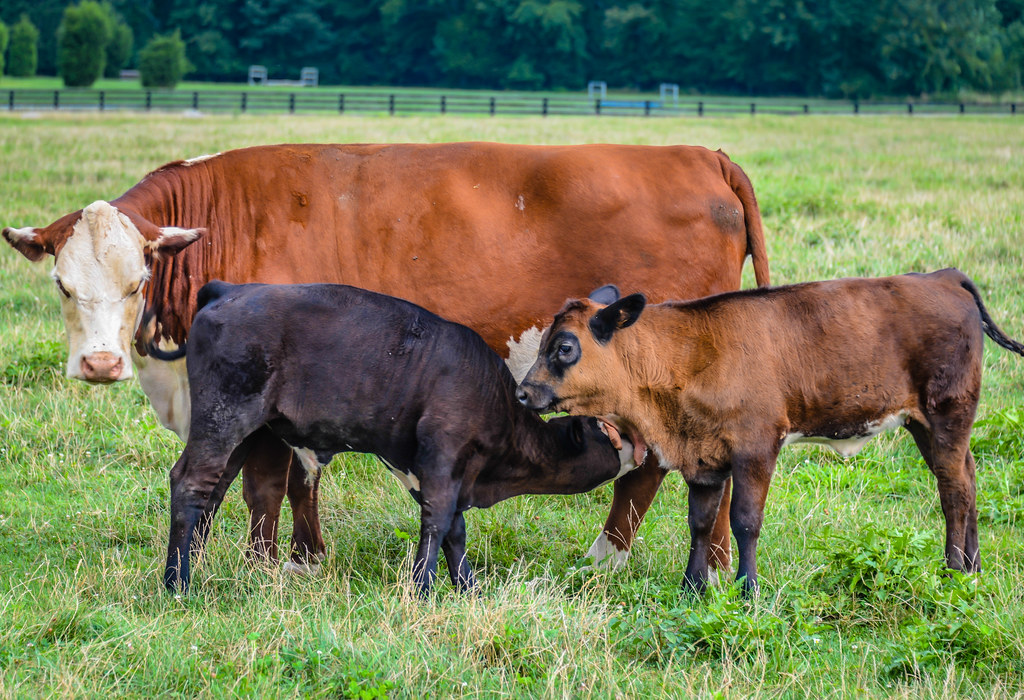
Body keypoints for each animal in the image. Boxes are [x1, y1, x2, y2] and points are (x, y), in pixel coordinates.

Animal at [163, 280, 638, 595]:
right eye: (607, 432)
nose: (641, 444)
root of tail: (229, 288)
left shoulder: (427, 469)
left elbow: (454, 531)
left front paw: (468, 591)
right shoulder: (442, 456)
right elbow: (438, 524)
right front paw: (422, 592)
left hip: (245, 431)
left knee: (213, 491)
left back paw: (195, 568)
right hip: (223, 416)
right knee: (189, 482)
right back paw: (177, 583)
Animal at [516, 270, 1024, 595]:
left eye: (564, 347)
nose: (523, 392)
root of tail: (941, 276)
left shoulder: (757, 446)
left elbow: (744, 520)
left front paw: (749, 591)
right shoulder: (702, 457)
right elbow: (700, 522)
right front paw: (691, 588)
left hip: (947, 412)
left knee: (954, 491)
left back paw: (953, 572)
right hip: (929, 423)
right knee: (968, 478)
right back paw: (973, 569)